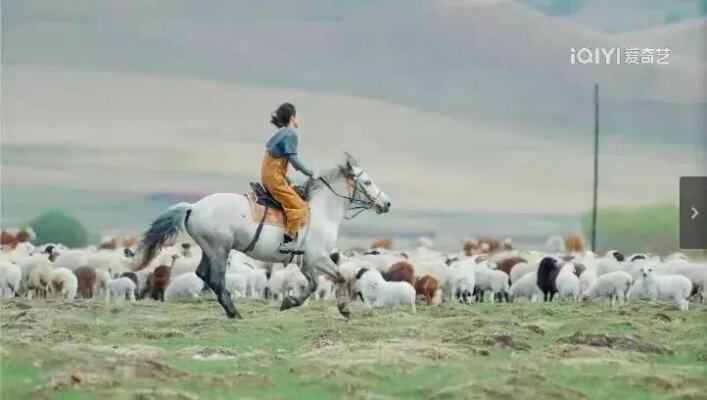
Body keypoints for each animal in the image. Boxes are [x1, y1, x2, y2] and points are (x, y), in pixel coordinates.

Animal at [136, 153, 390, 318]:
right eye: (367, 181)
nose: (387, 203)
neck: (321, 210)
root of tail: (193, 207)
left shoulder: (307, 262)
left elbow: (313, 285)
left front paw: (289, 302)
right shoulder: (317, 258)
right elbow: (339, 277)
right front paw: (344, 308)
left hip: (210, 249)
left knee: (203, 274)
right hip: (220, 250)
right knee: (216, 279)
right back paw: (234, 312)